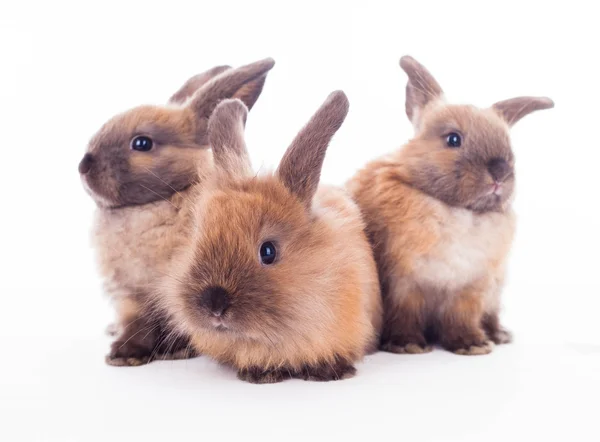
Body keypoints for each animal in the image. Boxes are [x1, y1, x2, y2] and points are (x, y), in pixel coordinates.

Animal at [78, 57, 276, 366]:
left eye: (142, 143)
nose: (83, 165)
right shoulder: (130, 295)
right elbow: (136, 324)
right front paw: (125, 355)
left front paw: (175, 351)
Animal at [346, 57, 552, 358]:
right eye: (453, 139)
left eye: (509, 147)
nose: (500, 172)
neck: (459, 212)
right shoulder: (403, 285)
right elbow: (405, 316)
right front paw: (406, 345)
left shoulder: (470, 289)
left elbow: (461, 318)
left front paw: (473, 345)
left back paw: (499, 335)